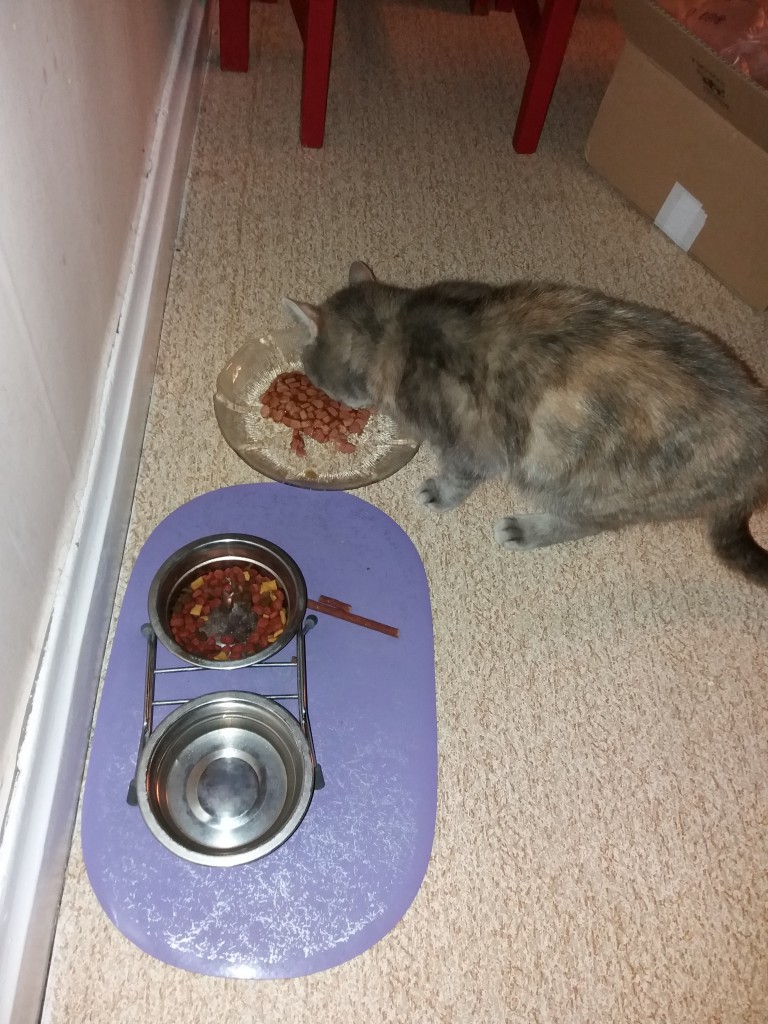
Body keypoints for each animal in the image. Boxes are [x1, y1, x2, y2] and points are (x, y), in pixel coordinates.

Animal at [285, 261, 768, 587]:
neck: (394, 328)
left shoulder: (471, 444)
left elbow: (458, 475)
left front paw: (439, 492)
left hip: (585, 482)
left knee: (584, 522)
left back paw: (526, 529)